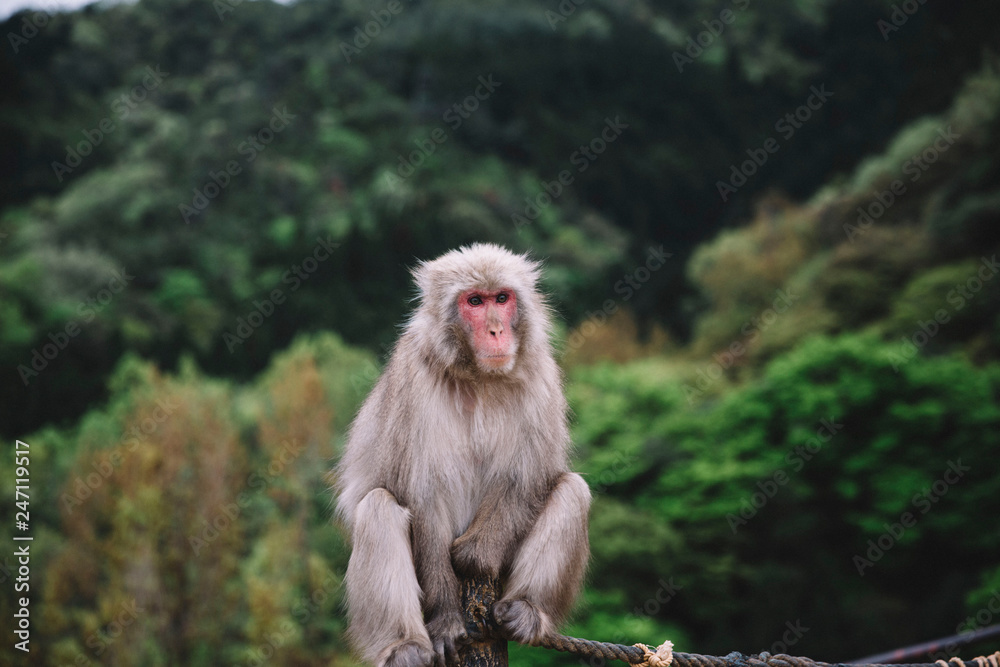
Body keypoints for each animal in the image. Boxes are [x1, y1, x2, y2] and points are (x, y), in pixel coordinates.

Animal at [334, 243, 591, 667]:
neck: (479, 377)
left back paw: (527, 609)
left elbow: (529, 475)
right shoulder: (414, 377)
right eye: (474, 301)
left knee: (573, 489)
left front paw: (473, 556)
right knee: (378, 507)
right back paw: (403, 646)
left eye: (501, 299)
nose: (496, 330)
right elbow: (423, 494)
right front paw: (445, 620)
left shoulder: (540, 370)